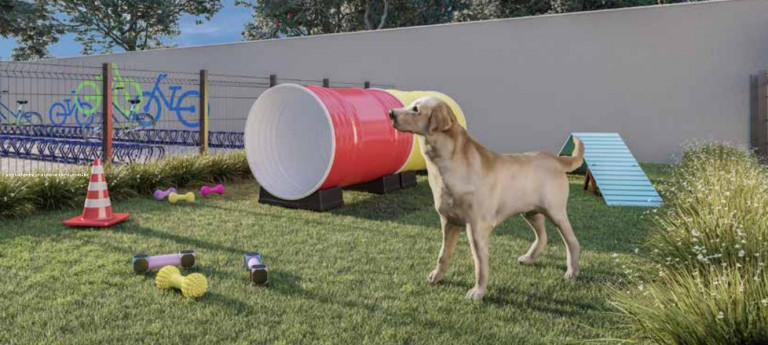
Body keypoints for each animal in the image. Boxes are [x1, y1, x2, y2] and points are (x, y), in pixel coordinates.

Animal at [388, 97, 584, 300]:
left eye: (416, 109)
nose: (390, 113)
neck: (445, 165)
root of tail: (555, 159)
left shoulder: (477, 227)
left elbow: (480, 264)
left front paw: (478, 291)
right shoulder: (448, 221)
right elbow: (443, 254)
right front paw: (437, 276)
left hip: (556, 212)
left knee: (573, 243)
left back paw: (572, 272)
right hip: (530, 212)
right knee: (542, 236)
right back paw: (529, 258)